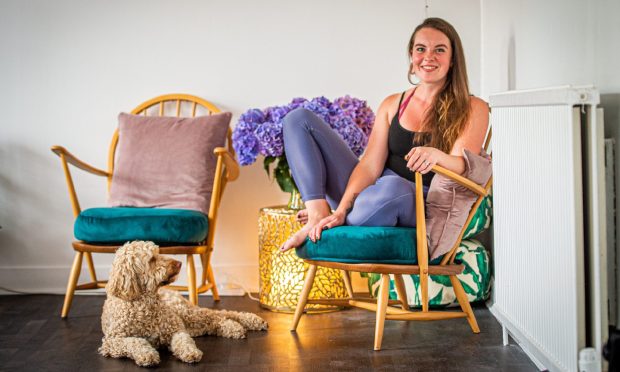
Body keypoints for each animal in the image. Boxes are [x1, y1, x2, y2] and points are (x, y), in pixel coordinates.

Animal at [98, 241, 268, 366]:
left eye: (158, 252)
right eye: (151, 259)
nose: (179, 263)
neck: (144, 303)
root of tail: (172, 292)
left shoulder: (175, 329)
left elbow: (183, 341)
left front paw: (190, 352)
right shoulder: (112, 341)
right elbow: (135, 341)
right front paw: (147, 354)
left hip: (186, 313)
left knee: (220, 314)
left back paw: (245, 323)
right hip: (189, 321)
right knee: (212, 323)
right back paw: (233, 328)